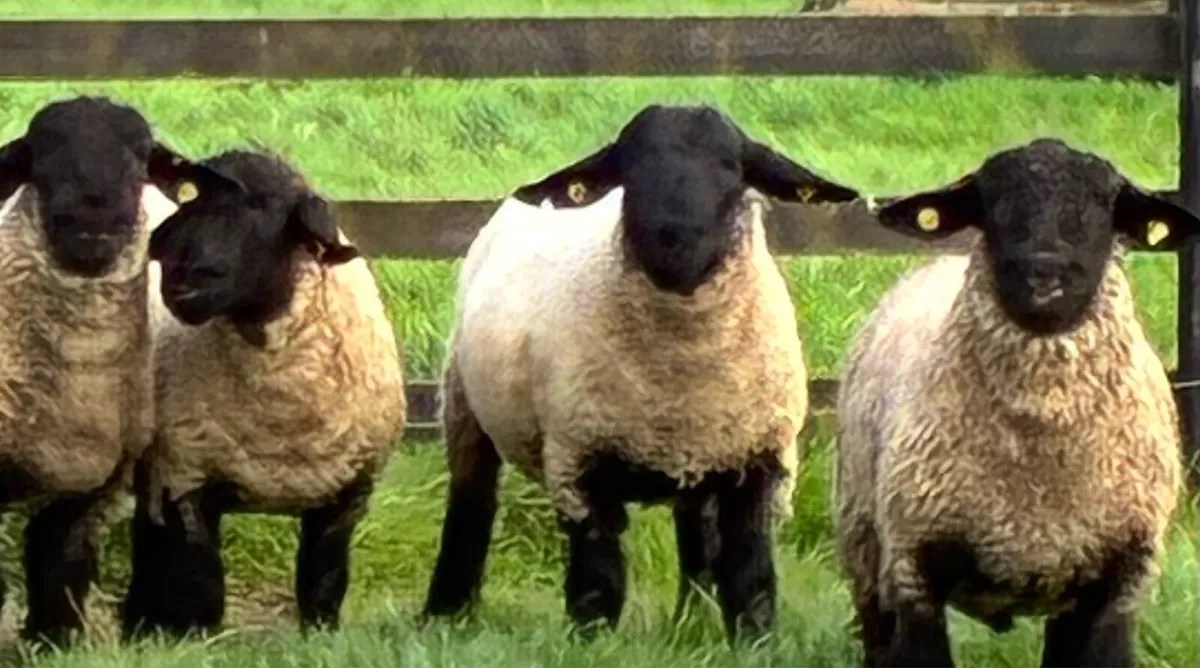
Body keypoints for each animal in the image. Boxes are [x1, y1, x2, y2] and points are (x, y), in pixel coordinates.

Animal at [0, 95, 237, 648]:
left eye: (141, 154)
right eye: (42, 150)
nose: (96, 212)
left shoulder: (92, 482)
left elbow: (58, 565)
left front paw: (52, 644)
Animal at [118, 149, 407, 638]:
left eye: (268, 209)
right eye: (197, 198)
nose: (184, 276)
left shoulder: (348, 494)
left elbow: (324, 581)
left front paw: (320, 636)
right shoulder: (186, 476)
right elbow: (201, 582)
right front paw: (197, 640)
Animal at [421, 104, 861, 643]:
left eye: (732, 168)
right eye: (628, 169)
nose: (671, 240)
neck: (681, 365)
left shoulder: (760, 462)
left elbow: (749, 575)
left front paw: (754, 643)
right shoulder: (578, 461)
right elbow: (598, 581)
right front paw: (590, 644)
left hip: (702, 453)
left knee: (696, 537)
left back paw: (690, 622)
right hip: (465, 405)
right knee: (470, 508)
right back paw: (446, 613)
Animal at [833, 137, 1191, 667]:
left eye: (1103, 203)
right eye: (993, 200)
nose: (1044, 272)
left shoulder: (1122, 581)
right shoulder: (914, 571)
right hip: (864, 548)